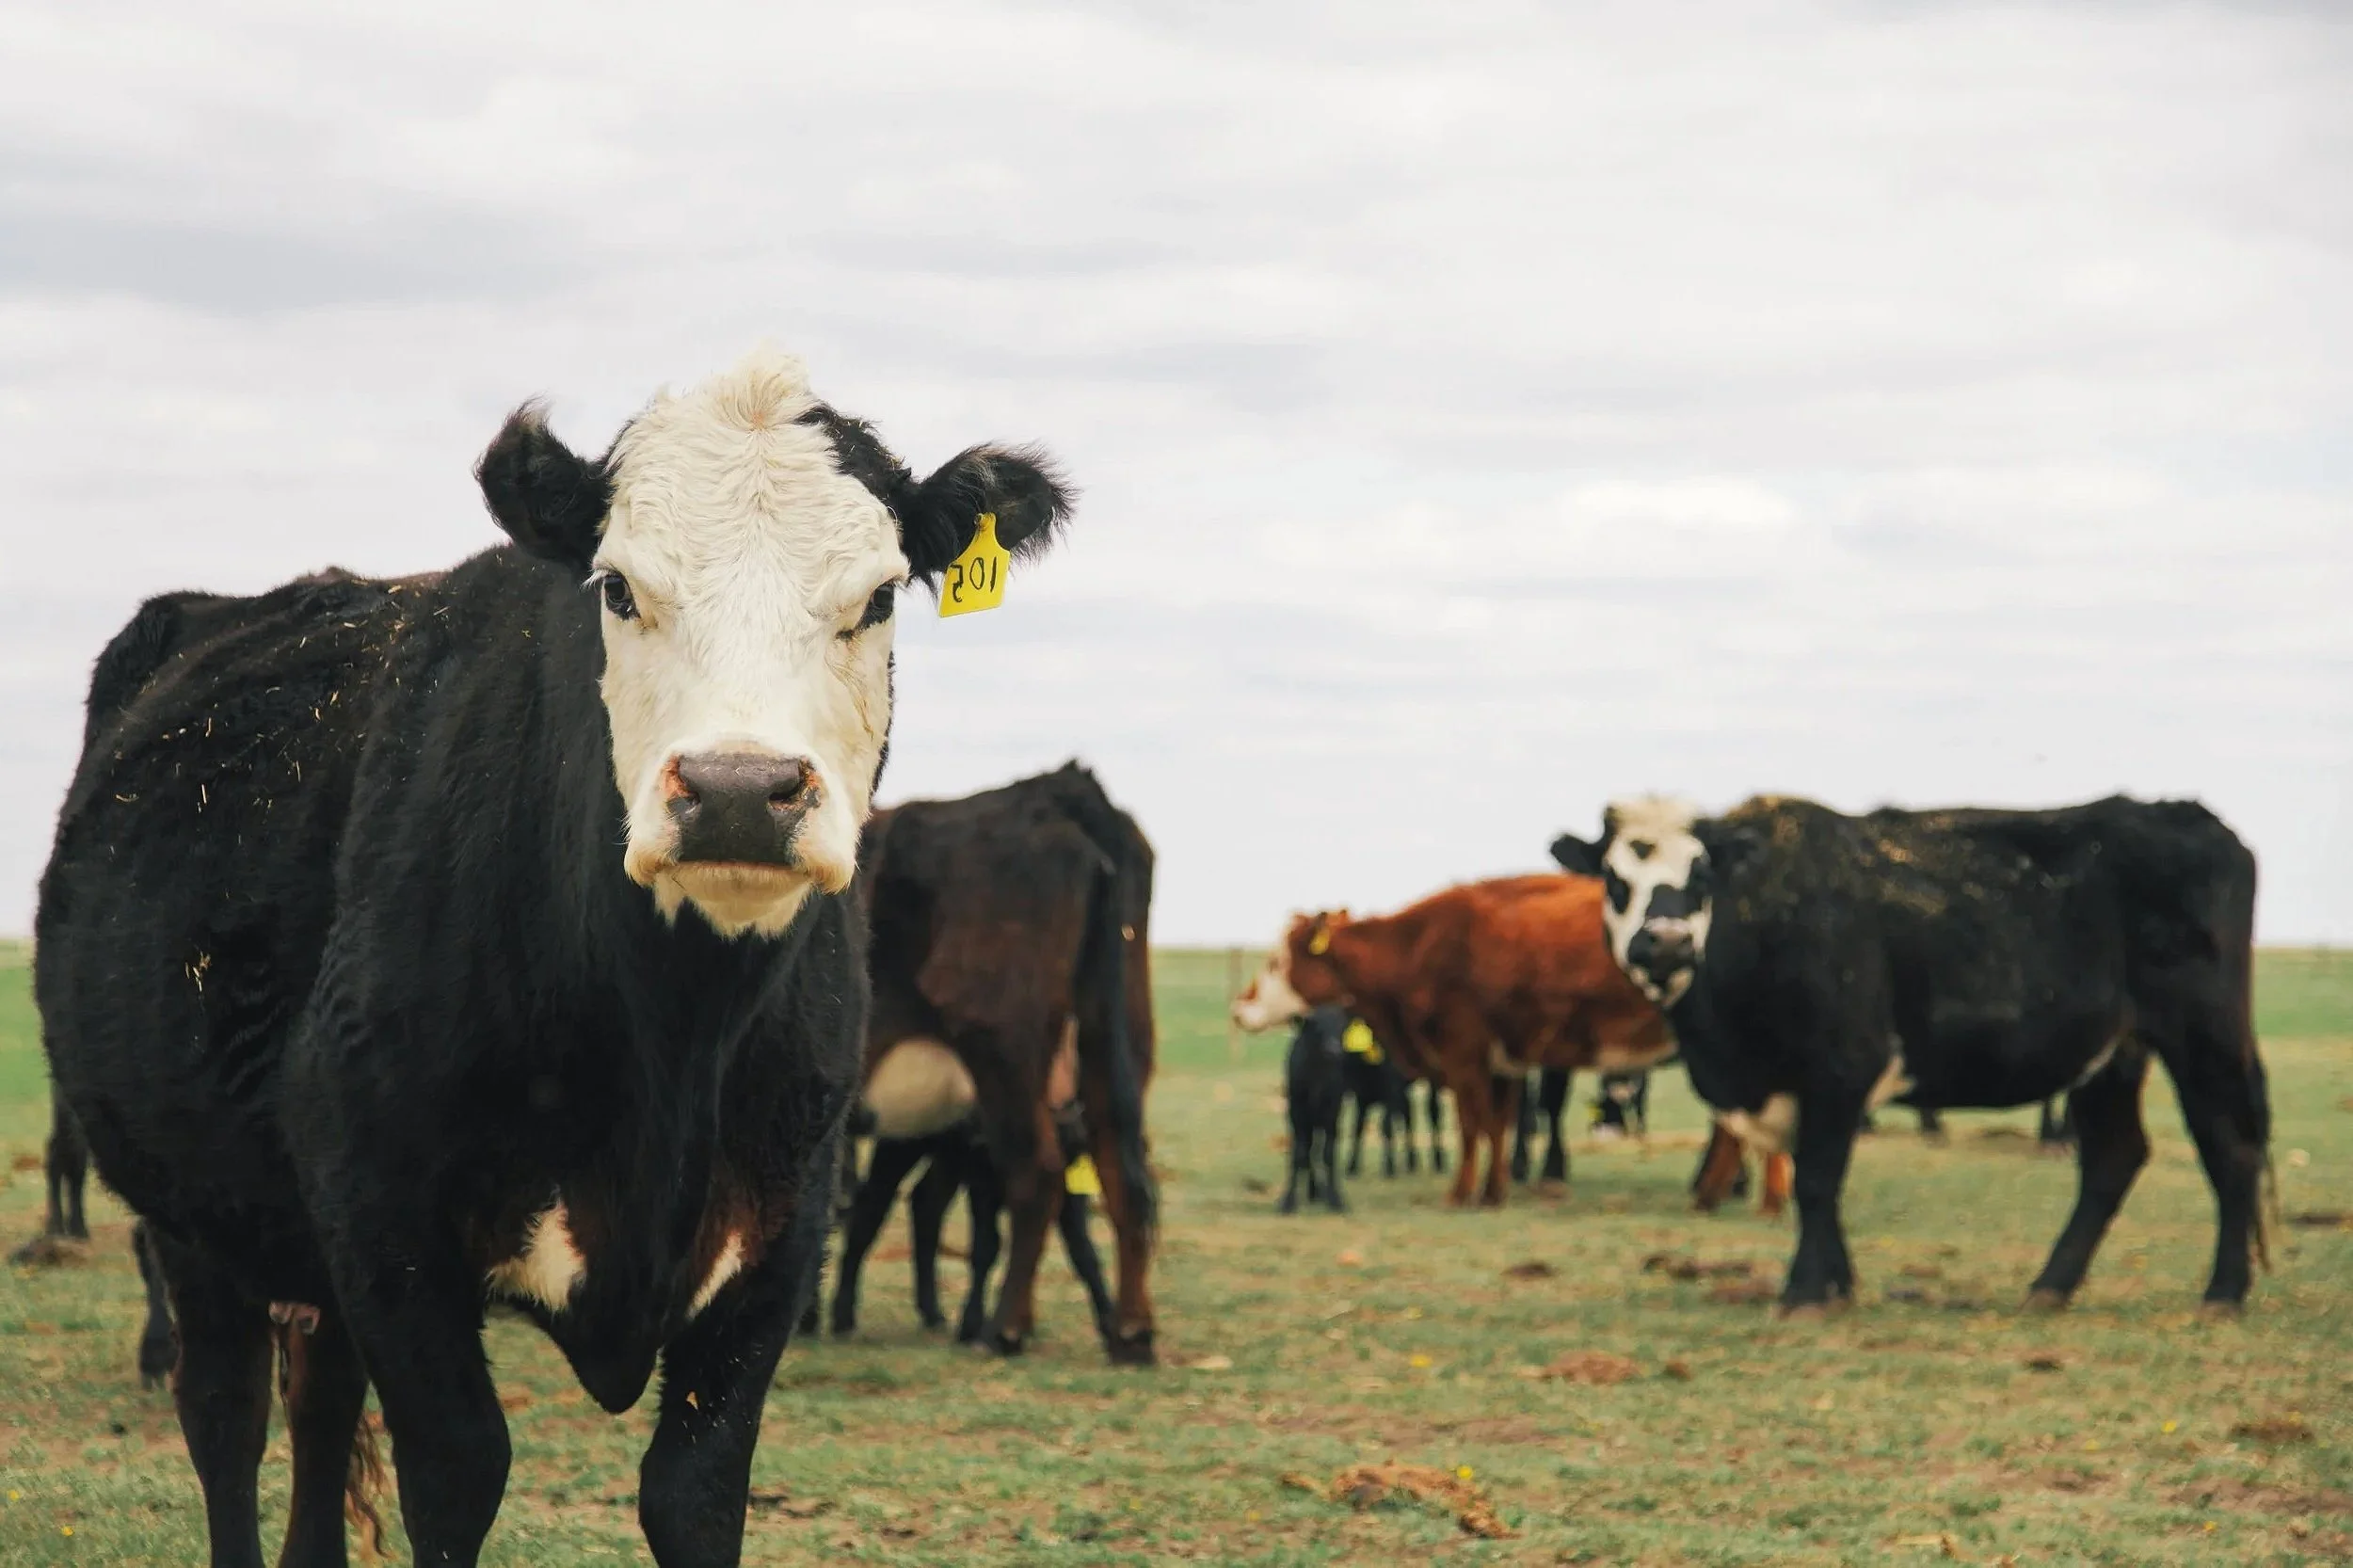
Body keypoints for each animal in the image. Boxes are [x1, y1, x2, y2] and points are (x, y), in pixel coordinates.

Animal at [35, 348, 1076, 1567]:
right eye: (619, 588)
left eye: (877, 597)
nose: (736, 790)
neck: (670, 1039)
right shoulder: (392, 1233)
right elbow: (457, 1475)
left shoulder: (777, 1238)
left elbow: (694, 1493)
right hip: (196, 1211)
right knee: (228, 1412)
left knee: (321, 1403)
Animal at [850, 763, 1157, 1362]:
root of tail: (1058, 789)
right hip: (1117, 1036)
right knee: (1121, 1168)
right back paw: (1131, 1332)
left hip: (1003, 1049)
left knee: (1037, 1174)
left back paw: (1005, 1327)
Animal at [1239, 875, 1674, 1208]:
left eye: (1276, 962)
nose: (1241, 1007)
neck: (1420, 945)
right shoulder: (1503, 1066)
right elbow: (1496, 1127)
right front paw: (1494, 1192)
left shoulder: (1464, 1059)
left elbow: (1470, 1126)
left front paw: (1462, 1193)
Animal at [1551, 794, 2272, 1318]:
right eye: (1616, 879)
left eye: (1701, 875)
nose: (1666, 943)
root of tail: (2186, 815)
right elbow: (1819, 1185)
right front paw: (1837, 1284)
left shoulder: (1841, 1068)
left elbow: (1817, 1181)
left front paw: (1807, 1292)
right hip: (2110, 1055)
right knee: (2113, 1160)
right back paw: (2050, 1288)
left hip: (2205, 1038)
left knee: (2230, 1147)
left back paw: (2224, 1294)